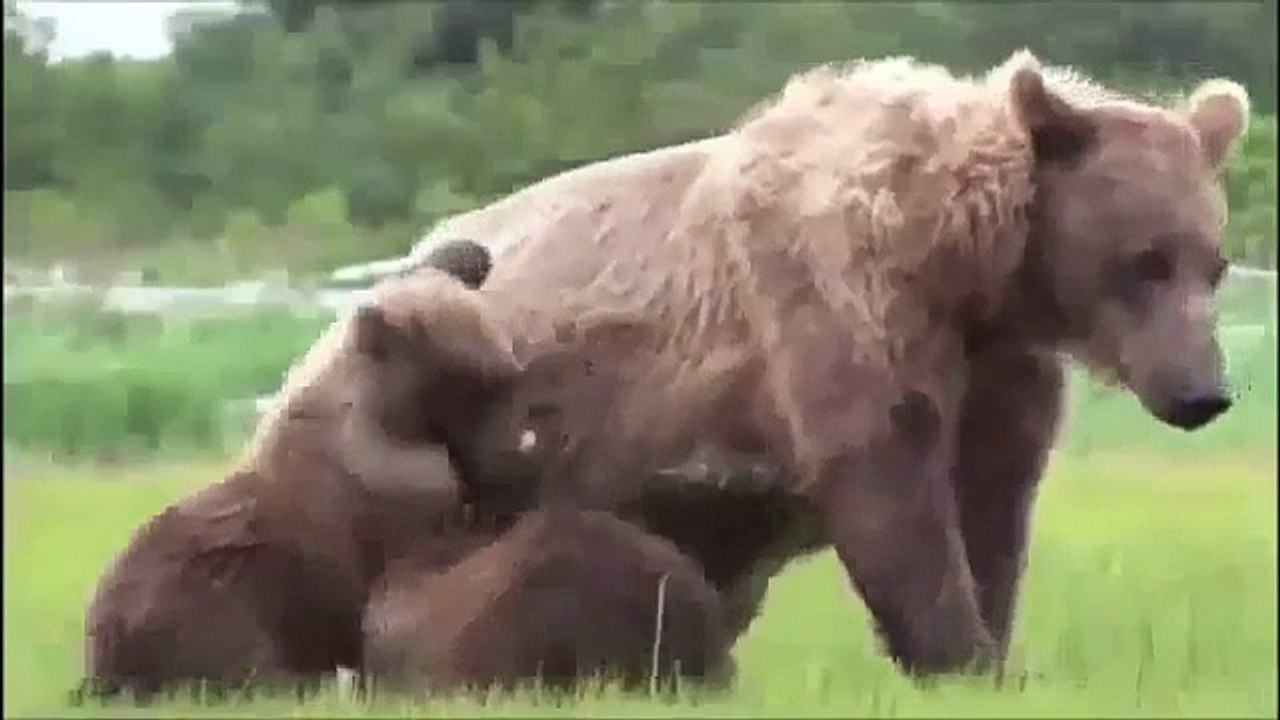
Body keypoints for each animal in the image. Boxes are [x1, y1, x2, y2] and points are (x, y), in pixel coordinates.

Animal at [80, 240, 525, 701]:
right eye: (484, 380)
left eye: (504, 370)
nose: (518, 450)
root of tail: (99, 654)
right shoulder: (392, 494)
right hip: (206, 596)